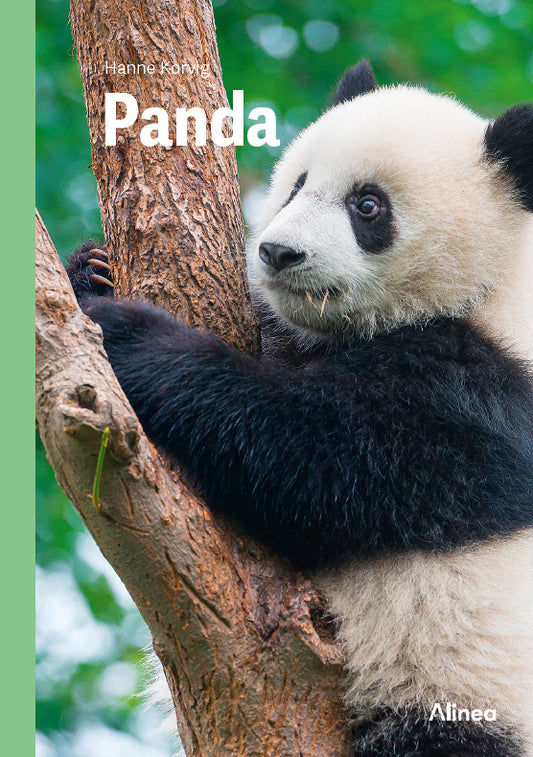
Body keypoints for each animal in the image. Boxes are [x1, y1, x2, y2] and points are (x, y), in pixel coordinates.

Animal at [67, 61, 533, 756]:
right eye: (297, 186)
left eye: (368, 206)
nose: (278, 253)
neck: (490, 283)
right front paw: (91, 273)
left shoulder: (485, 396)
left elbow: (321, 457)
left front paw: (129, 333)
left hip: (463, 685)